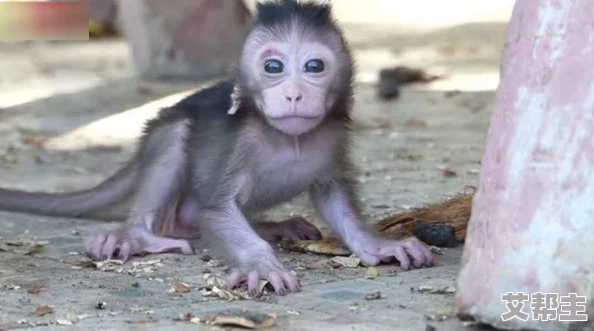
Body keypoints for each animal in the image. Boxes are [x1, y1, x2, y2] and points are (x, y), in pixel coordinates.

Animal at [0, 0, 430, 296]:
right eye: (273, 68)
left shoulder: (332, 137)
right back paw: (138, 237)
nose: (293, 94)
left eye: (314, 66)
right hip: (165, 145)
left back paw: (279, 226)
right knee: (177, 140)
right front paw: (261, 263)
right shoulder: (236, 142)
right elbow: (218, 209)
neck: (285, 138)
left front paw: (378, 245)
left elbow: (334, 199)